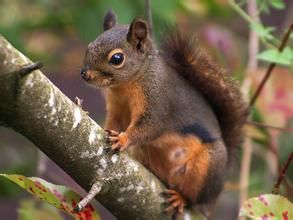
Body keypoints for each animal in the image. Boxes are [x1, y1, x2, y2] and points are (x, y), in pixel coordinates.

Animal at [80, 9, 249, 217]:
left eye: (117, 59)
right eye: (89, 47)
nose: (85, 74)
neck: (126, 86)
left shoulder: (158, 104)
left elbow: (149, 128)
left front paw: (122, 139)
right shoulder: (116, 108)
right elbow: (114, 123)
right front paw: (107, 131)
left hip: (206, 167)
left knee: (195, 198)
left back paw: (180, 198)